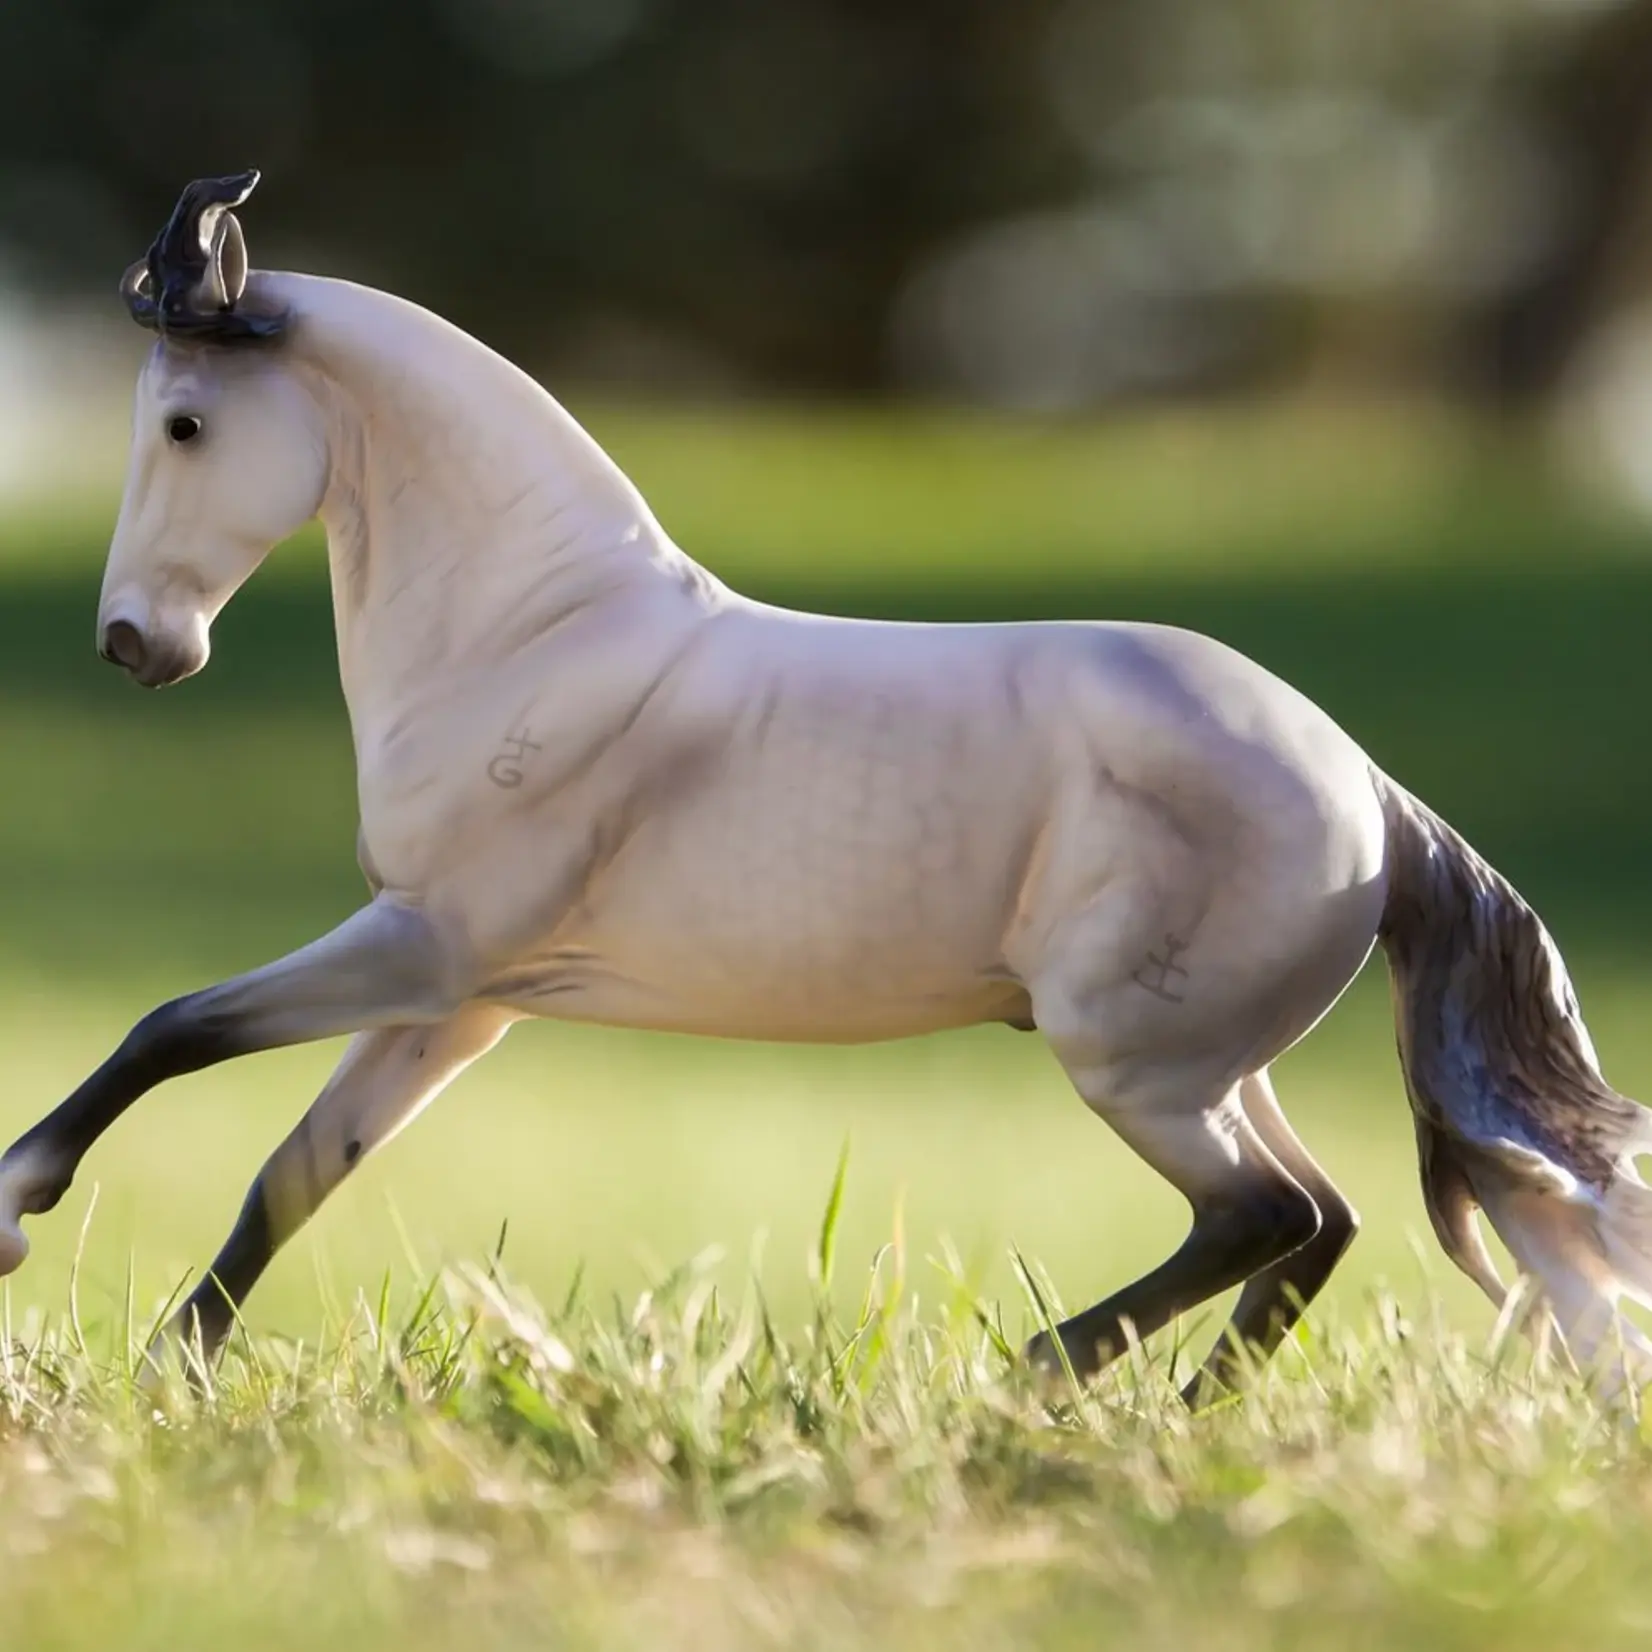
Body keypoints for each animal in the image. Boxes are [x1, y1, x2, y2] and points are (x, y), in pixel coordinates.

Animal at [2, 171, 1649, 1401]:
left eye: (185, 424)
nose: (136, 645)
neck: (535, 634)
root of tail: (1369, 794)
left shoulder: (424, 943)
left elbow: (173, 1030)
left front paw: (20, 1209)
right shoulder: (460, 1000)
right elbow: (291, 1175)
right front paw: (167, 1375)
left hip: (1134, 1063)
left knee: (1266, 1214)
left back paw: (1029, 1385)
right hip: (1206, 1063)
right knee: (1315, 1224)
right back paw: (1168, 1418)